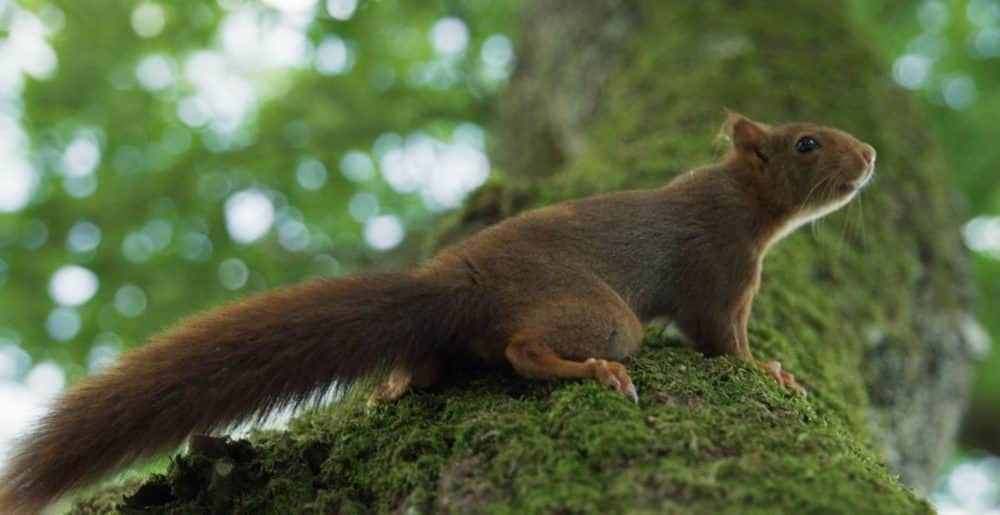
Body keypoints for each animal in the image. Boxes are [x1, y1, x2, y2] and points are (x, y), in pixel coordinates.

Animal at [0, 115, 876, 512]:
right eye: (806, 142)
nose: (869, 156)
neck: (742, 198)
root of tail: (456, 285)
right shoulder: (722, 274)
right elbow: (725, 344)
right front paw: (773, 370)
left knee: (433, 363)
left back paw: (394, 382)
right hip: (599, 311)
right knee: (523, 352)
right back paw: (594, 369)